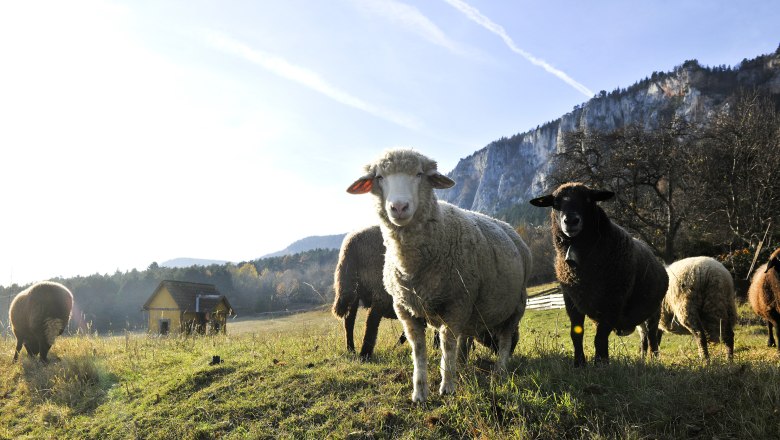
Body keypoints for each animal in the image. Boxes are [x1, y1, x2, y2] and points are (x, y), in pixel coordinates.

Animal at [348, 149, 532, 402]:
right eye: (379, 177)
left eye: (419, 174)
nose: (399, 207)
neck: (412, 266)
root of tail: (509, 228)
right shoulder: (405, 309)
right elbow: (418, 350)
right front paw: (419, 392)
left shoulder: (456, 304)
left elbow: (447, 344)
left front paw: (447, 387)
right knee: (469, 338)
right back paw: (464, 365)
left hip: (515, 306)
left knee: (505, 338)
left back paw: (500, 371)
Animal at [532, 180, 672, 366]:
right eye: (555, 203)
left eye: (588, 200)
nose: (571, 220)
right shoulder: (571, 301)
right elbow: (576, 334)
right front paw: (580, 364)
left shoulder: (613, 301)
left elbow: (599, 338)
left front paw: (600, 364)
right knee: (644, 337)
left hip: (654, 310)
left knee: (652, 336)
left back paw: (653, 359)